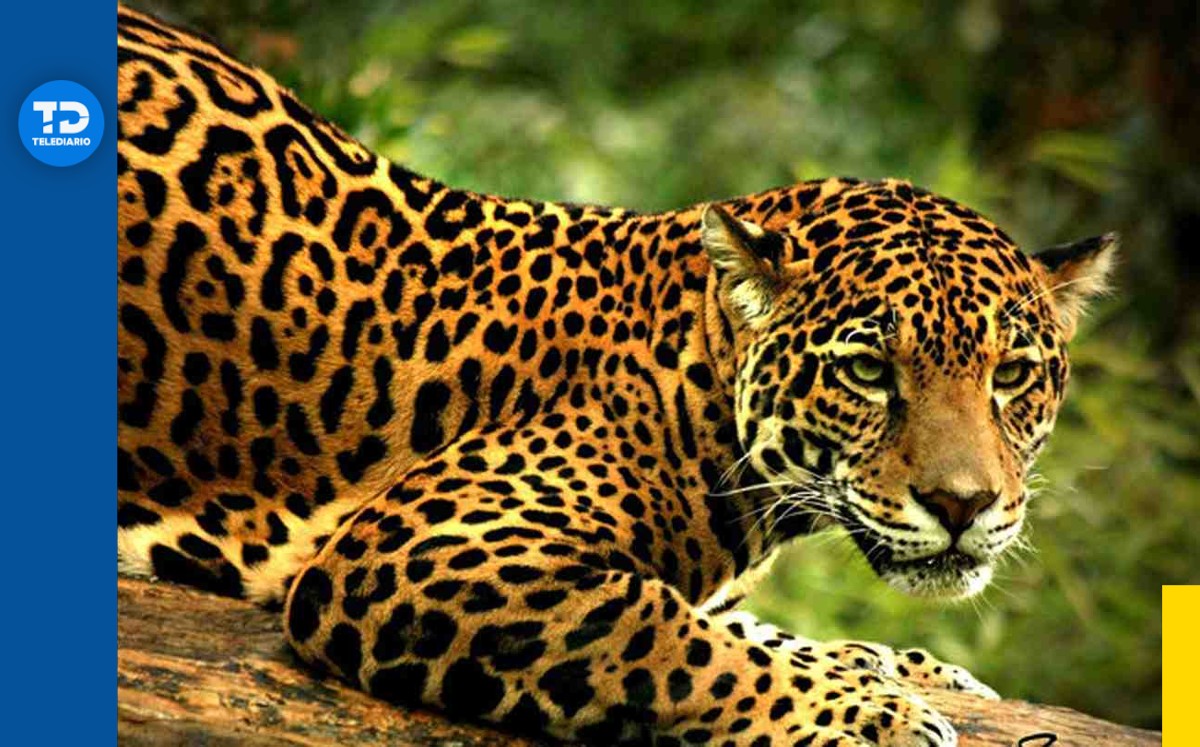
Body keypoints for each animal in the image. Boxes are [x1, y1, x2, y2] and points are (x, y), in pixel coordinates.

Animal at [116, 4, 1117, 745]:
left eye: (1012, 373)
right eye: (869, 369)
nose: (963, 505)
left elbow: (743, 626)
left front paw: (896, 667)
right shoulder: (425, 548)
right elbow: (675, 636)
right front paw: (875, 714)